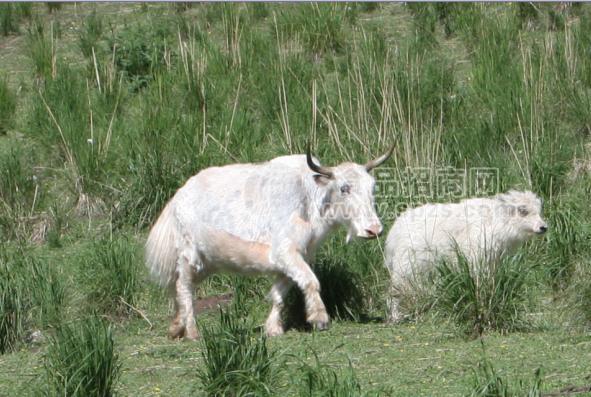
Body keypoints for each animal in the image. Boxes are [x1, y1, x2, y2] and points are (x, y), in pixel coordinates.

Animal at [145, 147, 394, 338]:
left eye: (373, 187)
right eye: (344, 188)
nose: (374, 230)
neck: (311, 199)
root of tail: (178, 196)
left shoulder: (295, 258)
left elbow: (279, 294)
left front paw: (273, 329)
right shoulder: (285, 252)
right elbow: (311, 281)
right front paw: (320, 318)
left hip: (208, 262)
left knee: (179, 287)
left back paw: (176, 327)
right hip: (190, 256)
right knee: (184, 287)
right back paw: (192, 331)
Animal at [386, 189, 548, 322]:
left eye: (538, 211)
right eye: (523, 210)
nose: (544, 227)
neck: (494, 222)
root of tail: (395, 229)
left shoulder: (492, 262)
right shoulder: (476, 259)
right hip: (406, 266)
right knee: (396, 291)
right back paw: (396, 317)